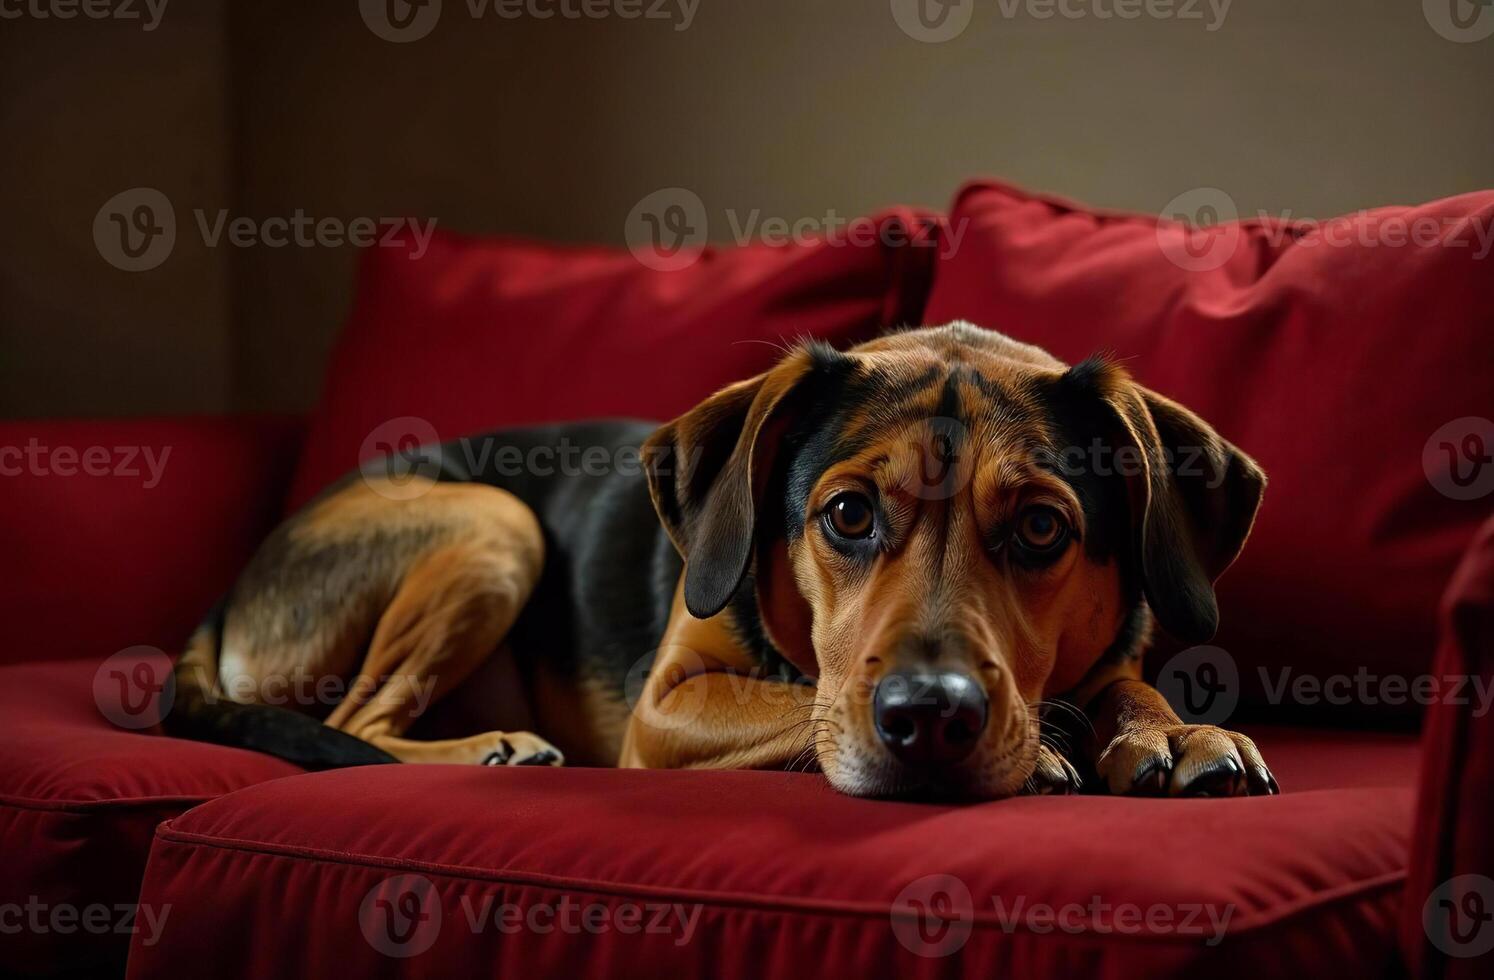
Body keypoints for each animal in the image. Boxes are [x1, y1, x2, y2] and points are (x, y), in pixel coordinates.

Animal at [171, 325, 1272, 800]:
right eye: (847, 514)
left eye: (1044, 529)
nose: (930, 718)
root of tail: (222, 599)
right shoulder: (667, 709)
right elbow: (806, 706)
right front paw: (1050, 746)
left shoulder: (1110, 652)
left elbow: (1130, 686)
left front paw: (1172, 730)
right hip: (493, 520)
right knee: (356, 722)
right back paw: (490, 748)